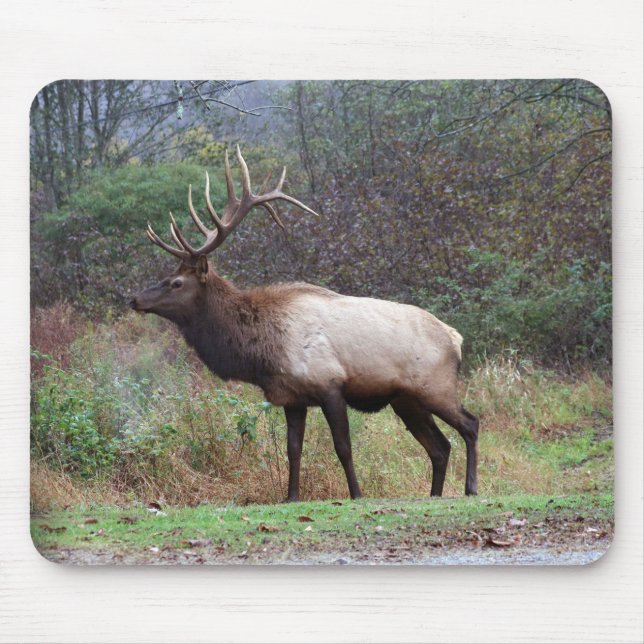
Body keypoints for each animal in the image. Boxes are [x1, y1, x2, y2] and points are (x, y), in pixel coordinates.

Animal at [129, 147, 479, 501]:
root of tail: (456, 338)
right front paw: (291, 496)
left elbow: (343, 447)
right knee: (439, 446)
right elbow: (293, 449)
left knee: (470, 424)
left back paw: (471, 487)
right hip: (406, 399)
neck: (262, 352)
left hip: (435, 386)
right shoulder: (292, 397)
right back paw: (435, 495)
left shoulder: (330, 384)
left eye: (175, 283)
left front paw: (356, 494)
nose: (135, 299)